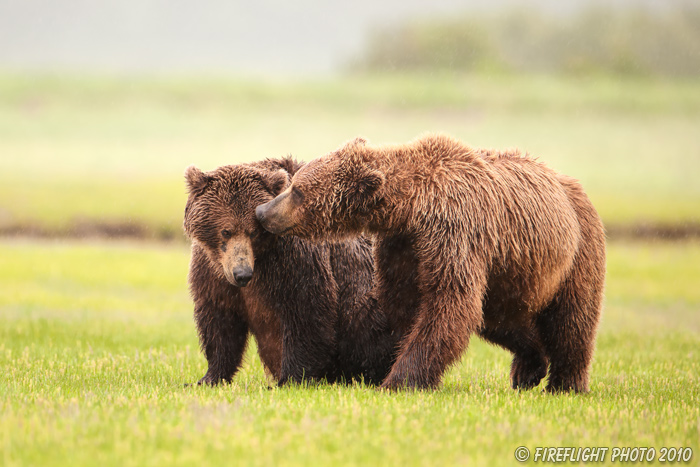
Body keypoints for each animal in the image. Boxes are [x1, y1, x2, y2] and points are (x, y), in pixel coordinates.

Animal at [183, 157, 396, 388]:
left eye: (254, 232)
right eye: (226, 231)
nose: (242, 274)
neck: (261, 259)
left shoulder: (294, 259)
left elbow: (306, 311)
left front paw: (290, 379)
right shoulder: (212, 272)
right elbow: (220, 321)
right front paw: (208, 377)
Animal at [258, 133, 608, 394]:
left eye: (298, 190)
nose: (263, 212)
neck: (412, 206)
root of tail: (573, 186)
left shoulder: (454, 231)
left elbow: (446, 304)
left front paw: (399, 380)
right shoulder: (405, 245)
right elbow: (405, 303)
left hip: (577, 249)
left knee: (572, 320)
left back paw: (566, 384)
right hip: (509, 273)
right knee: (502, 318)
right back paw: (529, 368)